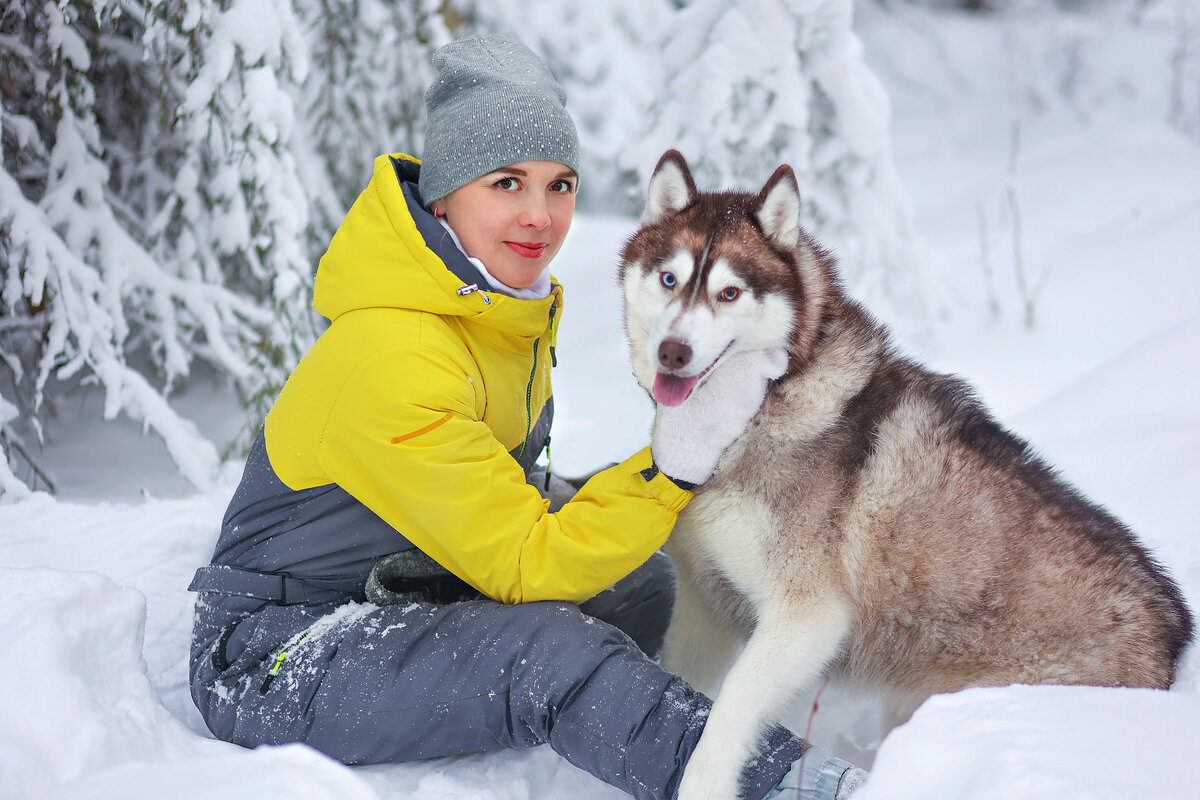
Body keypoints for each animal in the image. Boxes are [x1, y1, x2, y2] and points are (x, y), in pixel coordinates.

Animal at [619, 149, 1190, 800]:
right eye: (669, 280)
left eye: (730, 292)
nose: (674, 351)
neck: (759, 409)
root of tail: (1172, 636)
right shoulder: (705, 604)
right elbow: (673, 682)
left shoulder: (805, 619)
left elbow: (729, 709)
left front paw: (702, 783)